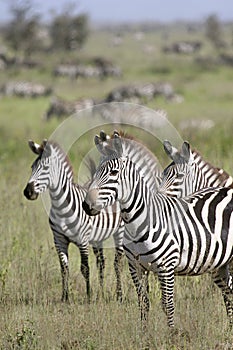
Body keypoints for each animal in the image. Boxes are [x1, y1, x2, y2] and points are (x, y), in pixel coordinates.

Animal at [23, 139, 124, 304]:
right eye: (32, 167)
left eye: (45, 168)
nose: (28, 192)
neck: (61, 208)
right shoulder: (59, 240)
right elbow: (64, 268)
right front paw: (64, 298)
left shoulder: (82, 240)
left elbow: (85, 268)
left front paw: (88, 297)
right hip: (97, 237)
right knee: (101, 263)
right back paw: (101, 294)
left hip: (120, 232)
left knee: (118, 263)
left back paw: (119, 296)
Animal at [83, 131, 233, 328]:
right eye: (96, 172)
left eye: (113, 172)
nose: (86, 205)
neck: (138, 224)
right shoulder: (136, 268)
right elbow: (144, 302)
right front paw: (143, 334)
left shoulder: (166, 267)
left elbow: (167, 304)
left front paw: (172, 335)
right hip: (218, 264)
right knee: (228, 293)